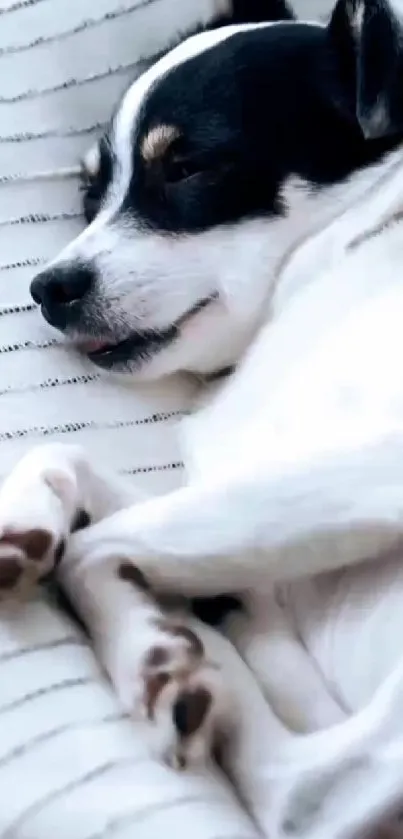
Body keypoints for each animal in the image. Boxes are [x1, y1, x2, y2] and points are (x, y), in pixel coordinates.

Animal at [3, 0, 403, 836]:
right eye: (89, 198)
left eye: (186, 168)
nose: (47, 287)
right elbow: (65, 455)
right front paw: (25, 519)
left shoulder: (367, 470)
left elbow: (100, 536)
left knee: (311, 791)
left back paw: (171, 662)